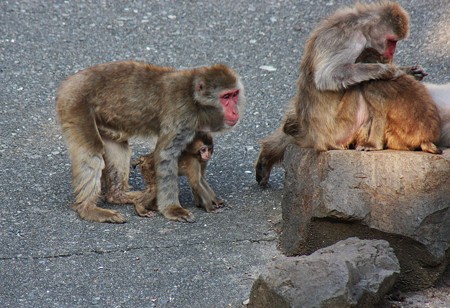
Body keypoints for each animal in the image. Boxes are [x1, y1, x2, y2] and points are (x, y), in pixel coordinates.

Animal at [57, 61, 246, 223]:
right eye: (226, 97)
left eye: (235, 95)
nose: (235, 111)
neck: (193, 98)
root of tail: (67, 83)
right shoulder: (181, 116)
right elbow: (165, 155)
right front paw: (173, 209)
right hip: (75, 106)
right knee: (92, 150)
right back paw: (88, 208)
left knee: (119, 146)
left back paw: (121, 196)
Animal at [255, 1, 424, 185]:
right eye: (392, 41)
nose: (392, 52)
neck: (361, 26)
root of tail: (314, 137)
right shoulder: (352, 41)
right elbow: (328, 76)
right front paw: (387, 70)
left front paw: (409, 71)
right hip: (341, 129)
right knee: (361, 86)